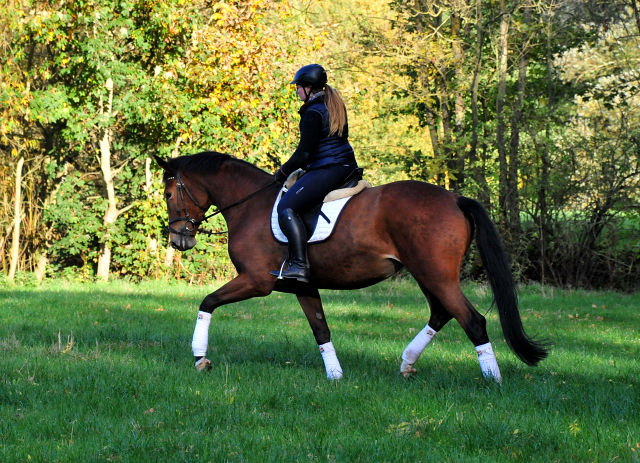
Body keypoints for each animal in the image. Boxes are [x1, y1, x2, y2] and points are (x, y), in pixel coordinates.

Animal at [156, 150, 552, 382]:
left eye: (169, 193)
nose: (178, 240)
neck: (250, 205)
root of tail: (454, 198)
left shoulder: (255, 281)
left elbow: (207, 302)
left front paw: (200, 357)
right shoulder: (302, 285)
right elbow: (321, 329)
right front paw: (335, 375)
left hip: (436, 275)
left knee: (472, 320)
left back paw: (492, 379)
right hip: (427, 275)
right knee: (441, 313)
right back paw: (407, 363)